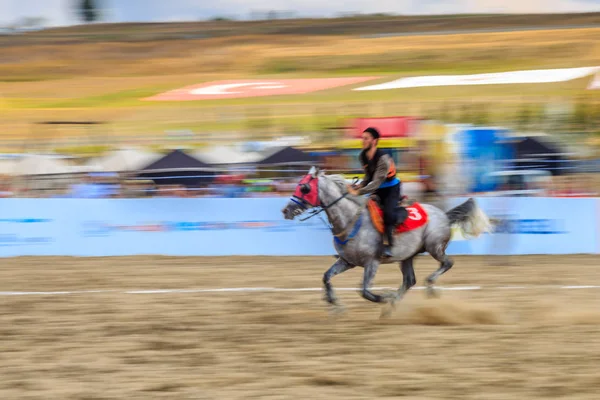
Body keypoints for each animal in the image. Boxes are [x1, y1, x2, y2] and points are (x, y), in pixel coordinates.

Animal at [282, 166, 492, 316]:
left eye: (305, 187)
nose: (286, 210)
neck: (351, 220)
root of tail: (444, 215)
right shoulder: (347, 261)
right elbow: (326, 277)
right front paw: (334, 304)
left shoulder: (372, 262)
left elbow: (364, 291)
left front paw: (385, 297)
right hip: (408, 257)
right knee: (409, 280)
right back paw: (394, 305)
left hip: (435, 247)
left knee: (447, 263)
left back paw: (428, 287)